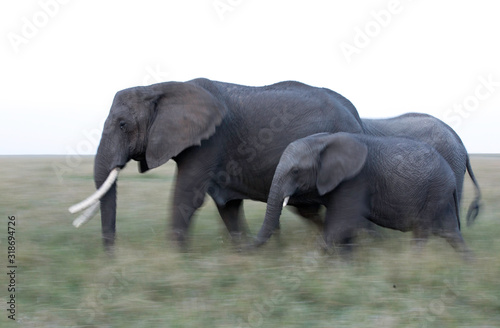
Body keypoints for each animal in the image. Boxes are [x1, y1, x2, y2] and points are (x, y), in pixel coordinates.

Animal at [69, 77, 364, 251]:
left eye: (122, 125)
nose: (111, 257)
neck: (159, 87)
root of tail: (355, 115)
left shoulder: (209, 140)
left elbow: (187, 196)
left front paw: (175, 262)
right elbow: (228, 206)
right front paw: (242, 254)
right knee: (308, 210)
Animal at [256, 131, 470, 258]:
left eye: (295, 171)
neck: (322, 140)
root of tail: (452, 175)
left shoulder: (355, 180)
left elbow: (341, 226)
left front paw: (311, 261)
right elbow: (344, 229)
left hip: (435, 191)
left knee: (422, 230)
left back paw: (414, 263)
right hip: (440, 193)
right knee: (450, 232)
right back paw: (468, 266)